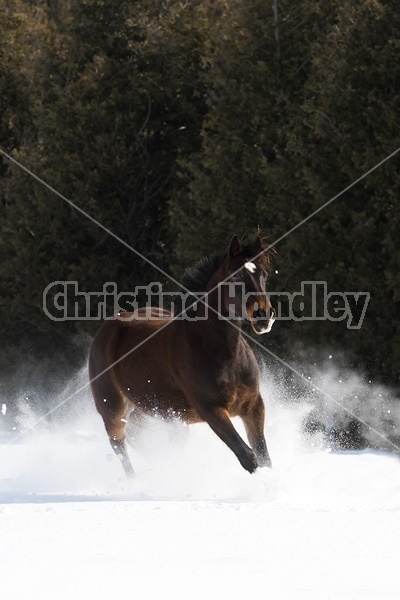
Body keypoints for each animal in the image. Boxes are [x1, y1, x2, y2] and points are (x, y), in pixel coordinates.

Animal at [88, 234, 276, 478]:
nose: (264, 316)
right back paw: (135, 481)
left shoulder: (253, 405)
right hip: (112, 407)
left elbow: (264, 457)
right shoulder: (211, 410)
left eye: (264, 274)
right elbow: (248, 457)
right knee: (119, 443)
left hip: (154, 410)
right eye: (235, 276)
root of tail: (107, 328)